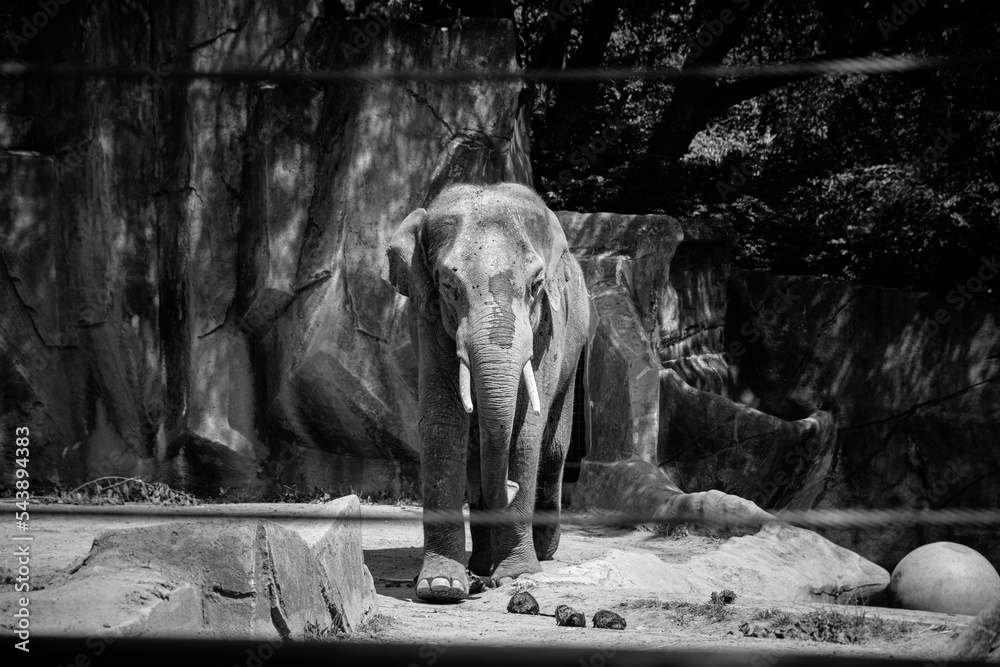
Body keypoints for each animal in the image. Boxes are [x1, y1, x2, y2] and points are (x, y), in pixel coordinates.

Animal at [382, 183, 591, 603]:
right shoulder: (428, 317)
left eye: (536, 286)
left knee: (554, 448)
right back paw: (480, 564)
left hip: (575, 350)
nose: (509, 487)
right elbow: (444, 422)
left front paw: (516, 576)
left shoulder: (550, 326)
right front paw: (441, 586)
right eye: (449, 287)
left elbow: (526, 431)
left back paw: (543, 550)